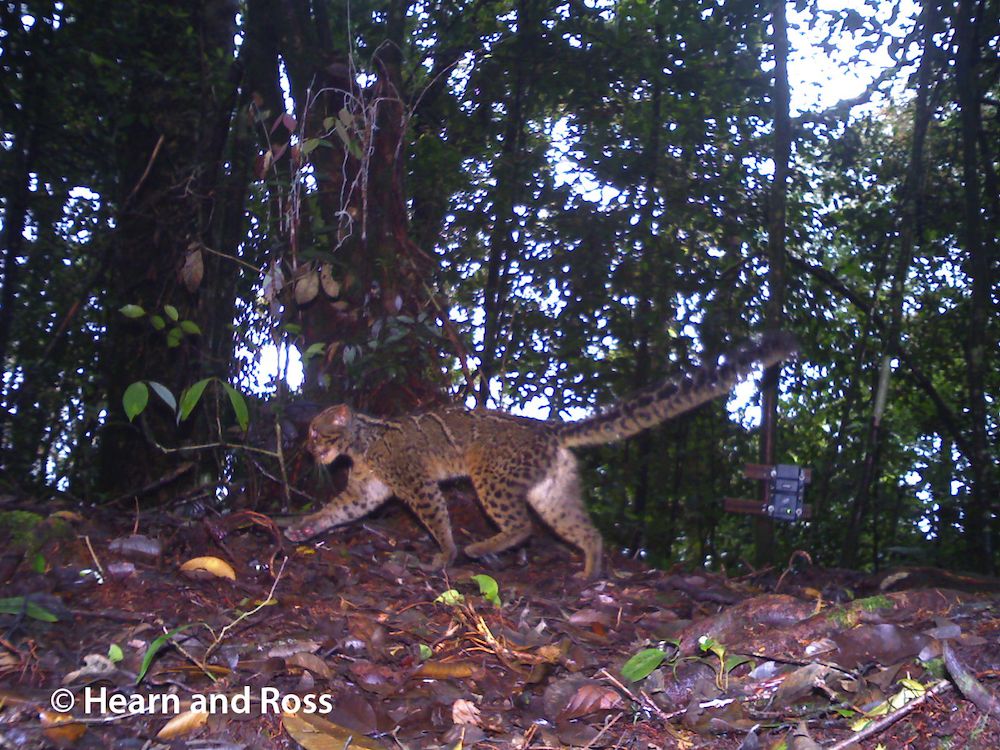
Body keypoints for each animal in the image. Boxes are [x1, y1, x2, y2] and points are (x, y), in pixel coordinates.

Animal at [288, 336, 796, 580]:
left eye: (315, 432)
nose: (307, 449)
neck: (362, 443)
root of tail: (549, 428)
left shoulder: (415, 483)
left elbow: (437, 521)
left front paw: (444, 557)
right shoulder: (367, 490)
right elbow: (337, 510)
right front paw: (303, 527)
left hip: (490, 478)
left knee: (522, 527)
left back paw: (480, 548)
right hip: (554, 492)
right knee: (588, 531)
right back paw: (589, 573)